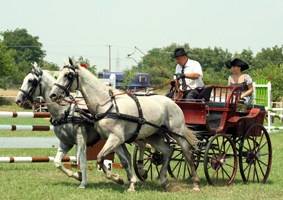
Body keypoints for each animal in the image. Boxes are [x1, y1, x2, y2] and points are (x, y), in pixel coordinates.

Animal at [48, 58, 202, 192]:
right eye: (58, 74)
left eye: (68, 75)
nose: (53, 95)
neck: (107, 104)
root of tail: (173, 102)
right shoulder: (115, 140)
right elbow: (125, 161)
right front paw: (129, 182)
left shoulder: (116, 138)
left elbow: (100, 157)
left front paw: (116, 177)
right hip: (153, 136)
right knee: (168, 152)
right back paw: (164, 181)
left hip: (178, 135)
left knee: (188, 155)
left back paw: (196, 184)